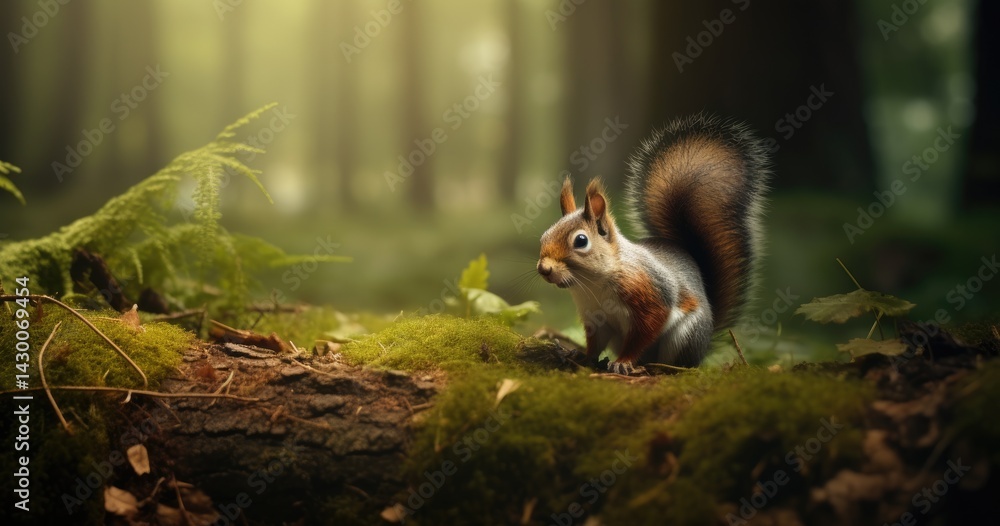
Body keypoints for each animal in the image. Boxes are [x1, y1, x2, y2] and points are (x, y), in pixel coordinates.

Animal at [536, 114, 770, 373]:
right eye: (544, 235)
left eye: (581, 240)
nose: (543, 269)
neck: (594, 283)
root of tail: (706, 342)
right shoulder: (595, 317)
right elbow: (595, 342)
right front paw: (582, 356)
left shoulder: (649, 295)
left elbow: (644, 332)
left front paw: (623, 362)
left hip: (685, 336)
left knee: (676, 363)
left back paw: (659, 368)